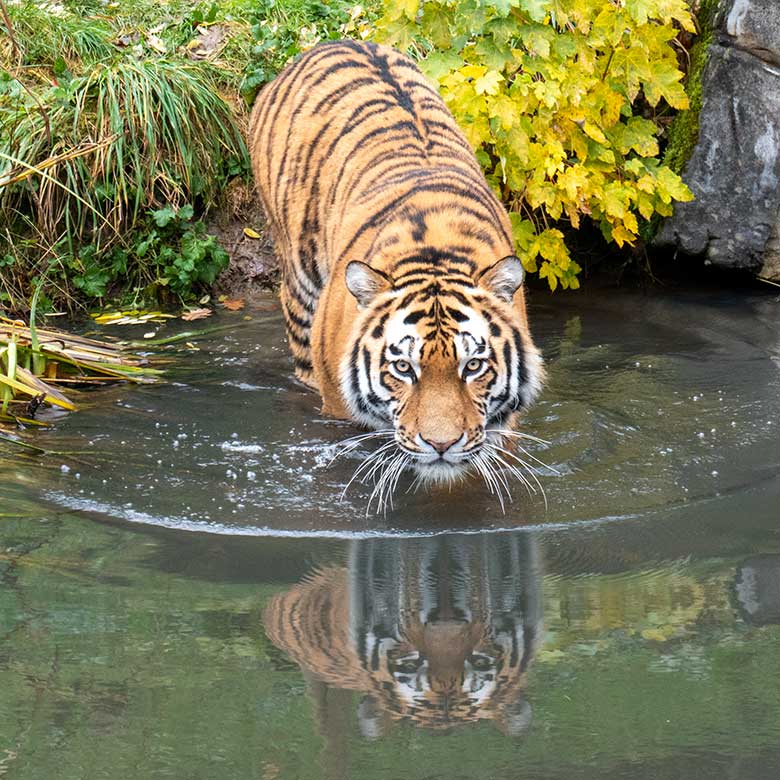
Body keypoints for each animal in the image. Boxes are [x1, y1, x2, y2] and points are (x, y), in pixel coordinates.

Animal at [250, 39, 544, 484]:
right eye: (403, 368)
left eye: (474, 366)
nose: (441, 445)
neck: (436, 251)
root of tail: (333, 42)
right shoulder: (338, 407)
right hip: (299, 282)